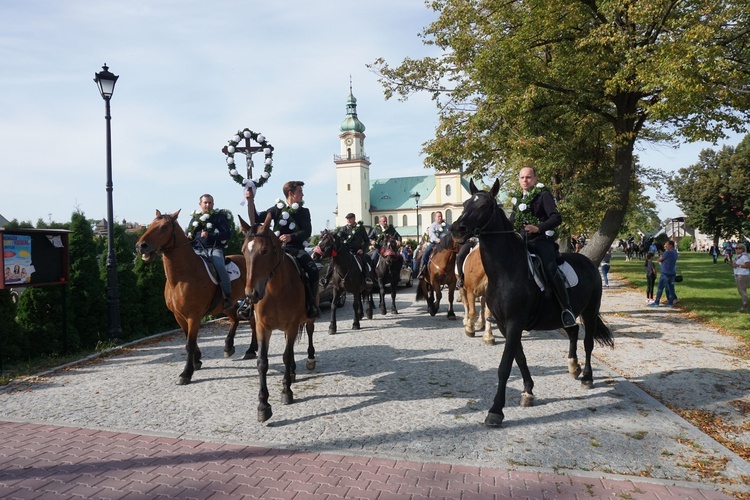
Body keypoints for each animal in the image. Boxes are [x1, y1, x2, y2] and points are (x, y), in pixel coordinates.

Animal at [135, 209, 250, 384]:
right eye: (151, 224)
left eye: (164, 227)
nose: (141, 246)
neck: (182, 276)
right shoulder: (179, 316)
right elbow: (190, 340)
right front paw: (197, 361)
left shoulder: (193, 316)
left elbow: (190, 343)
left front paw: (186, 373)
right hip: (226, 305)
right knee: (234, 320)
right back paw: (228, 347)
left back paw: (251, 350)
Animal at [241, 214, 318, 422]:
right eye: (243, 251)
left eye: (264, 250)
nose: (251, 294)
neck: (275, 289)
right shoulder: (262, 328)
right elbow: (262, 362)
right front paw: (263, 405)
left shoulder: (291, 325)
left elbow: (285, 355)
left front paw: (286, 392)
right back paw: (292, 372)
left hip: (308, 319)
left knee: (309, 332)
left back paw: (309, 360)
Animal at [450, 178, 612, 428]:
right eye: (467, 203)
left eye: (484, 206)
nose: (457, 229)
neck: (507, 270)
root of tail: (588, 261)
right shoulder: (505, 325)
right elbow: (520, 357)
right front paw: (528, 391)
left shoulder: (515, 323)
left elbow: (505, 365)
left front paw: (496, 411)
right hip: (564, 314)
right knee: (573, 330)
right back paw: (573, 366)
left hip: (590, 311)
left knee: (587, 342)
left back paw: (587, 376)